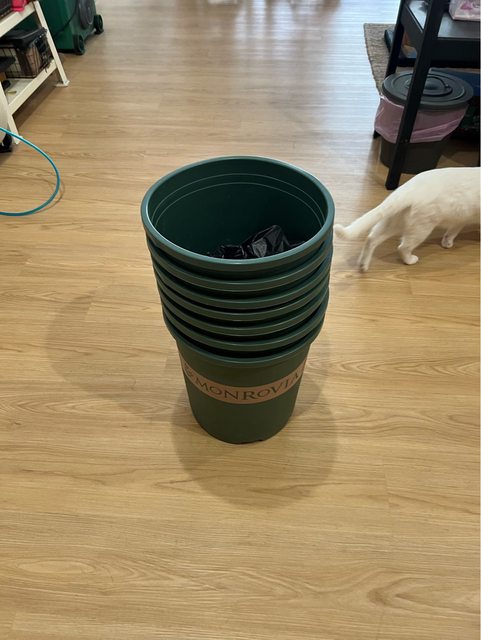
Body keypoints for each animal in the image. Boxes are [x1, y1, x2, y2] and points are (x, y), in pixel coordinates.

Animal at [334, 167, 480, 272]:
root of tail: (407, 189)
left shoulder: (461, 219)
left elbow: (452, 232)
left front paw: (447, 243)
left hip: (395, 222)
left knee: (372, 238)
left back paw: (363, 265)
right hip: (421, 228)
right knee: (402, 247)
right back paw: (410, 260)